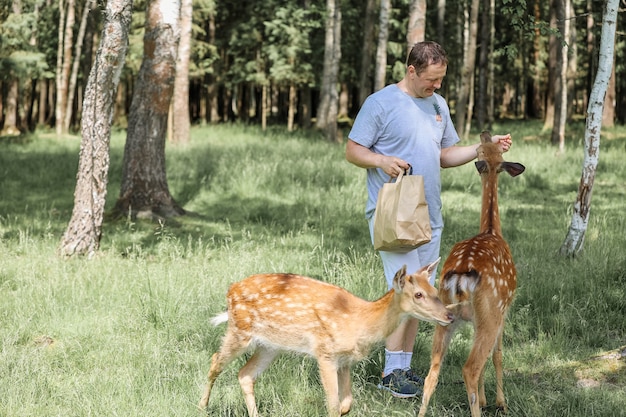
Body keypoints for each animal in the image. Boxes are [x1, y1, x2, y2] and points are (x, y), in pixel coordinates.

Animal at [197, 258, 450, 414]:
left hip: (270, 346)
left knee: (245, 374)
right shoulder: (325, 352)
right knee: (215, 360)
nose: (448, 314)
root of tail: (230, 290)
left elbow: (346, 404)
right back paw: (202, 406)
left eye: (434, 290)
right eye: (418, 294)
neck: (360, 321)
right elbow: (333, 405)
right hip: (240, 331)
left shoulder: (345, 359)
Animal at [416, 132, 524, 416]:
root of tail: (461, 275)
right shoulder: (504, 310)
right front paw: (499, 402)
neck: (491, 229)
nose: (486, 135)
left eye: (482, 152)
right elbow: (497, 355)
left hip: (445, 315)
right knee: (470, 368)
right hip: (491, 310)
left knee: (432, 371)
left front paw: (487, 400)